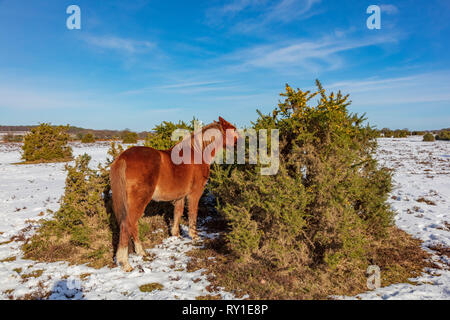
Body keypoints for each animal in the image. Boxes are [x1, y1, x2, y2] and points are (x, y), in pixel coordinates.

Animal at [109, 116, 239, 272]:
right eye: (233, 130)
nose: (240, 144)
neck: (198, 153)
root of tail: (123, 157)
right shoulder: (195, 193)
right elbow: (192, 213)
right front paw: (194, 236)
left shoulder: (180, 197)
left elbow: (178, 213)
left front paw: (176, 235)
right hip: (140, 200)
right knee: (126, 224)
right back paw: (126, 263)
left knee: (132, 224)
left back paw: (141, 252)